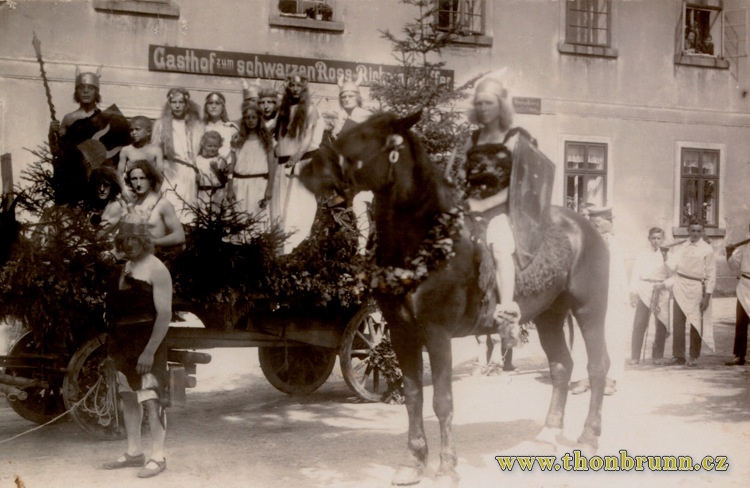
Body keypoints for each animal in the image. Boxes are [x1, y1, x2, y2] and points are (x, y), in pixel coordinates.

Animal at [302, 112, 612, 486]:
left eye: (363, 136)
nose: (307, 167)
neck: (424, 241)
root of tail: (585, 226)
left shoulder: (437, 335)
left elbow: (442, 401)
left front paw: (447, 466)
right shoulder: (402, 333)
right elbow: (413, 397)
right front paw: (413, 461)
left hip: (589, 310)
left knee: (596, 367)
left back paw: (589, 437)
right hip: (549, 315)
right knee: (562, 367)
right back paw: (547, 435)